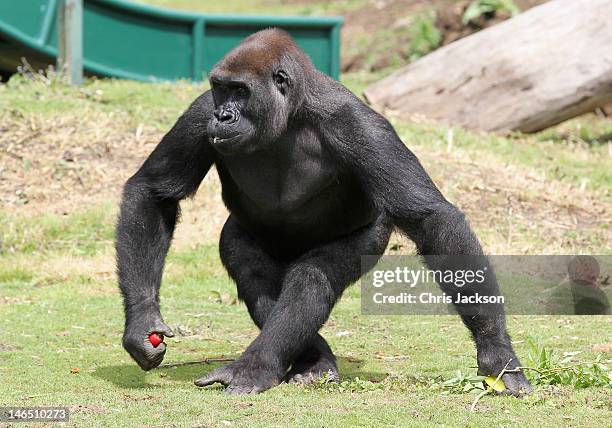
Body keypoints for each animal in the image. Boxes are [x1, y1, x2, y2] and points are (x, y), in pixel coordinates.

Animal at [115, 26, 532, 394]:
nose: (223, 116)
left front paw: (496, 352)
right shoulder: (200, 111)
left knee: (310, 278)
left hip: (369, 237)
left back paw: (257, 367)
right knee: (255, 272)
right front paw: (142, 319)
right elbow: (154, 192)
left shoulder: (360, 126)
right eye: (220, 90)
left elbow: (430, 219)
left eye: (240, 90)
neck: (292, 112)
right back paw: (312, 359)